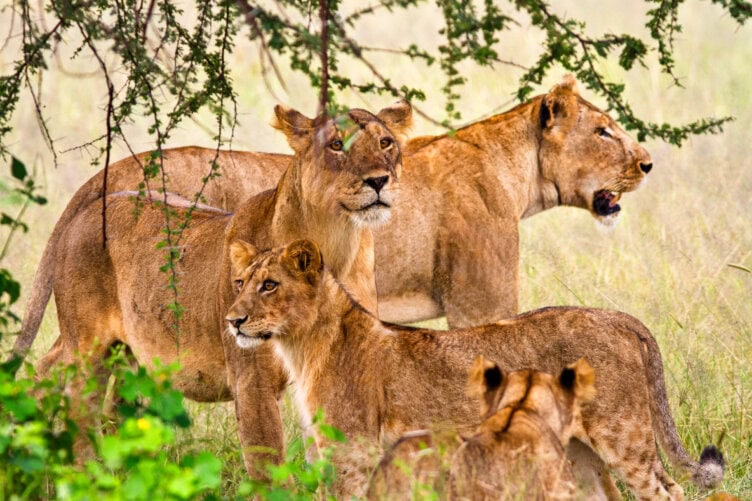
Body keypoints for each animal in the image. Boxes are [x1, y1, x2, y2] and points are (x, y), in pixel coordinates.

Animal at [32, 101, 412, 476]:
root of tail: (87, 207)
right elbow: (268, 471)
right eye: (336, 144)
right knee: (68, 401)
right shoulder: (252, 381)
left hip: (128, 356)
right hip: (86, 349)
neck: (336, 244)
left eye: (385, 143)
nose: (379, 180)